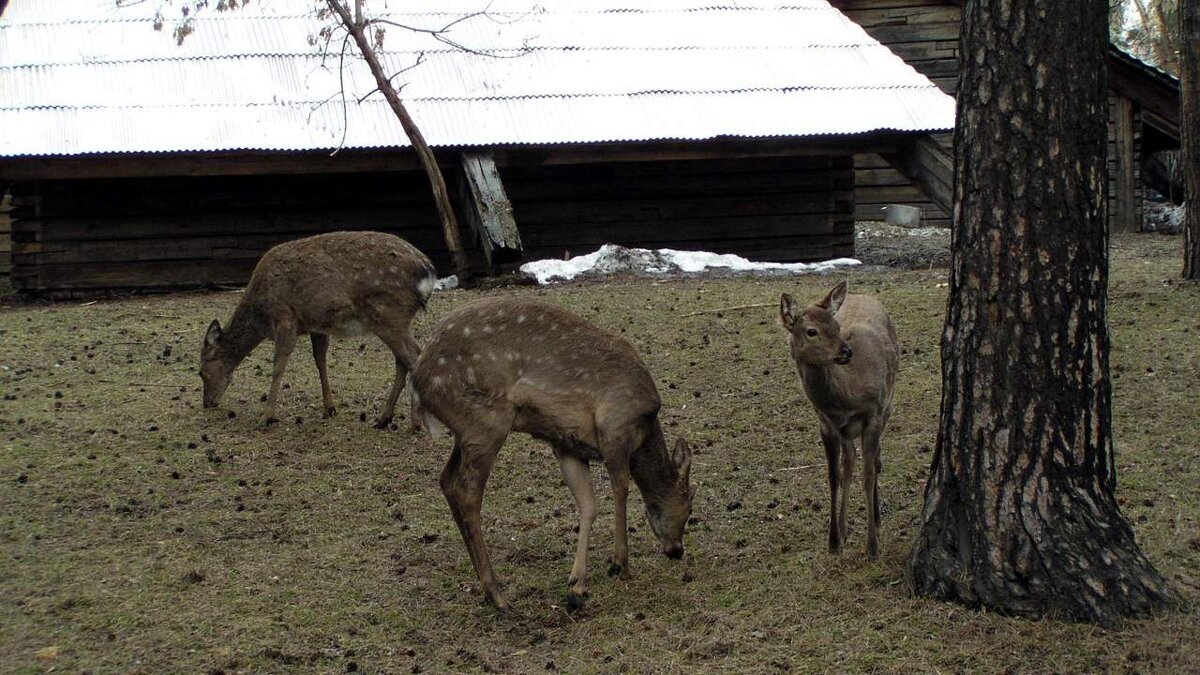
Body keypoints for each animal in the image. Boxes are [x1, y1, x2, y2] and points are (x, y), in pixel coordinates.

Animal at [198, 228, 436, 422]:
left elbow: (278, 365)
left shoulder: (285, 318)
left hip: (388, 314)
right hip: (394, 320)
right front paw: (329, 409)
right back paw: (384, 419)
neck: (260, 316)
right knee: (403, 361)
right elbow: (320, 360)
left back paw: (415, 423)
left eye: (201, 372)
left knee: (413, 356)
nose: (207, 403)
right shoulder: (317, 325)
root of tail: (428, 272)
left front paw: (267, 416)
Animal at [412, 296, 696, 607]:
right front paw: (620, 564)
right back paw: (496, 592)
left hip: (465, 430)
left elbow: (588, 505)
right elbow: (621, 489)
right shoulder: (615, 429)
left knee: (446, 480)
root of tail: (420, 378)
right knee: (467, 491)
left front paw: (577, 583)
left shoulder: (567, 445)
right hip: (486, 421)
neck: (644, 429)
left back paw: (484, 583)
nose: (677, 550)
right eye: (689, 507)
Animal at [777, 278, 902, 557]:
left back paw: (876, 518)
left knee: (874, 461)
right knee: (850, 460)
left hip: (888, 405)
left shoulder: (873, 414)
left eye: (836, 327)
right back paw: (844, 529)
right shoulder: (826, 424)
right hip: (847, 431)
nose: (846, 351)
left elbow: (868, 475)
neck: (847, 396)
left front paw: (872, 547)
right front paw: (833, 541)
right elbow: (834, 477)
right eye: (811, 331)